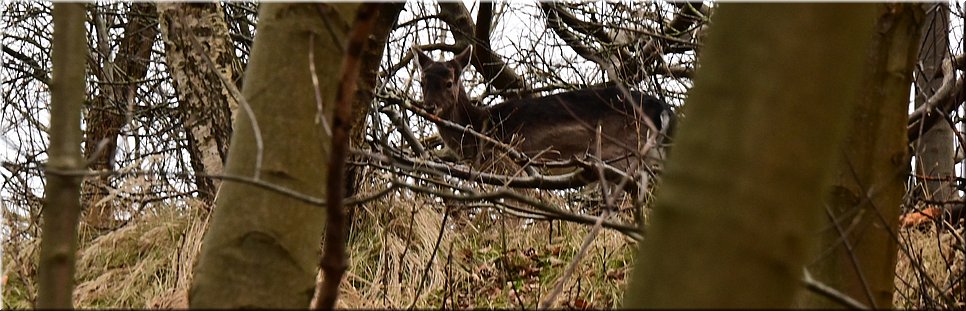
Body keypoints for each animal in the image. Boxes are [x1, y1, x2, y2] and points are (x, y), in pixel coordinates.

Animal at [412, 46, 676, 185]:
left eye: (449, 83)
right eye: (422, 81)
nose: (429, 107)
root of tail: (664, 110)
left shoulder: (507, 163)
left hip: (625, 154)